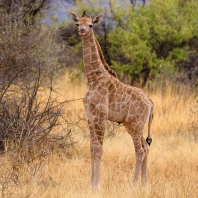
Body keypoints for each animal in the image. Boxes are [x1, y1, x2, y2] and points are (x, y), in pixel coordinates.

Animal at [69, 11, 153, 189]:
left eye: (91, 25)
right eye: (77, 23)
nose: (82, 31)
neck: (93, 78)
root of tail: (151, 103)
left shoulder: (100, 116)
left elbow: (99, 149)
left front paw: (97, 185)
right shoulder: (90, 117)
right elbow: (92, 148)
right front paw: (91, 184)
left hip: (135, 125)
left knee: (140, 150)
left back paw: (133, 185)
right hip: (133, 125)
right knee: (146, 147)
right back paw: (144, 185)